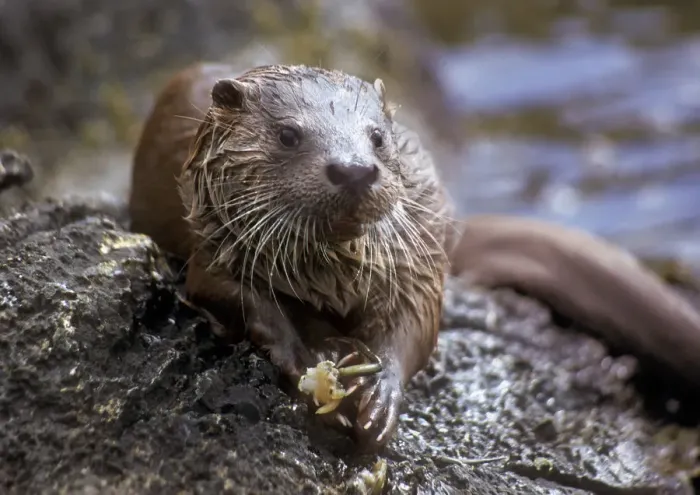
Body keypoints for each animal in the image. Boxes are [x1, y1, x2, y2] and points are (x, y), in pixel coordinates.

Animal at [129, 62, 700, 450]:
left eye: (377, 137)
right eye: (289, 134)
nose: (353, 168)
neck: (329, 275)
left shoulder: (417, 266)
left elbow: (417, 325)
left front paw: (380, 392)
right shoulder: (213, 251)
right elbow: (242, 302)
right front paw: (308, 362)